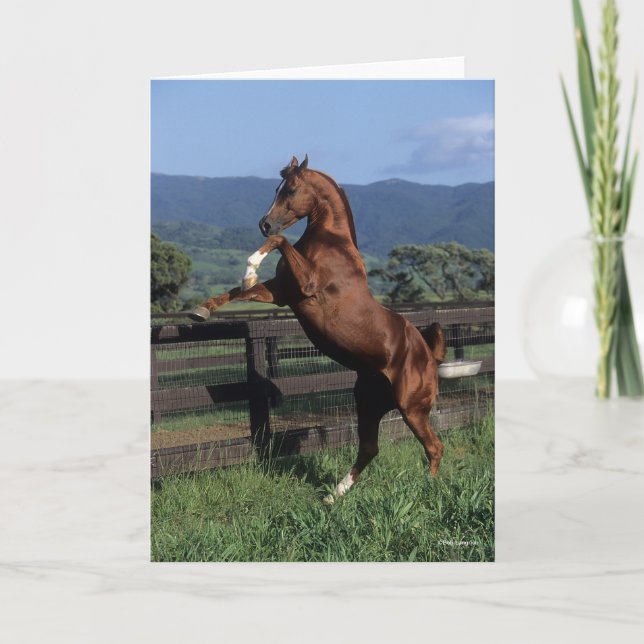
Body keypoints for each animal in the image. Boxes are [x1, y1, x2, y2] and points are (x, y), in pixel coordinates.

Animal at [189, 155, 446, 503]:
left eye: (290, 189)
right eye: (276, 188)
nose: (264, 224)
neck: (331, 242)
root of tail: (430, 355)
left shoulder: (305, 285)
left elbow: (279, 242)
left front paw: (250, 268)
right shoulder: (282, 293)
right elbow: (236, 293)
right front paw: (201, 310)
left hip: (412, 409)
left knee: (434, 447)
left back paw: (426, 488)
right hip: (369, 404)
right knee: (369, 448)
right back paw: (333, 495)